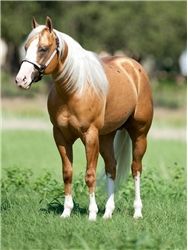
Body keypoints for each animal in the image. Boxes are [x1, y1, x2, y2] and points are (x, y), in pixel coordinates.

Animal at [15, 17, 153, 221]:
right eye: (26, 47)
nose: (21, 79)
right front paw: (66, 212)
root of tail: (134, 66)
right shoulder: (61, 137)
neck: (74, 90)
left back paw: (137, 212)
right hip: (106, 136)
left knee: (136, 169)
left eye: (43, 48)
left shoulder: (90, 136)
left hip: (139, 134)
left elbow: (90, 174)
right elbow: (67, 173)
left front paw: (92, 214)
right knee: (111, 167)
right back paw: (108, 212)